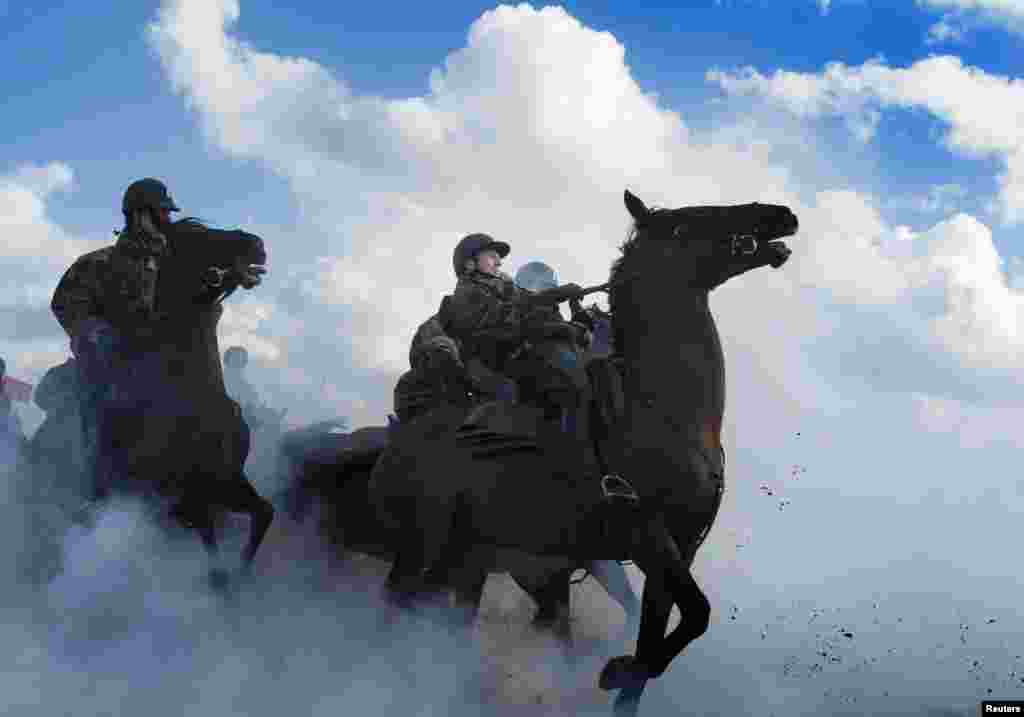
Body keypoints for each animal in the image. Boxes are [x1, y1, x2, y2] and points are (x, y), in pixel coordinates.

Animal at [92, 220, 274, 589]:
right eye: (197, 235)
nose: (257, 244)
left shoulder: (228, 483)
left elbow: (264, 512)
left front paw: (242, 573)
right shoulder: (192, 494)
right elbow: (212, 557)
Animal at [368, 190, 798, 717]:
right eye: (685, 224)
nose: (781, 215)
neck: (657, 410)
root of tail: (398, 440)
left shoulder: (680, 549)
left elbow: (656, 643)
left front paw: (627, 672)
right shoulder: (647, 535)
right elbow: (697, 615)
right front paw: (616, 669)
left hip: (469, 559)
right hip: (420, 551)